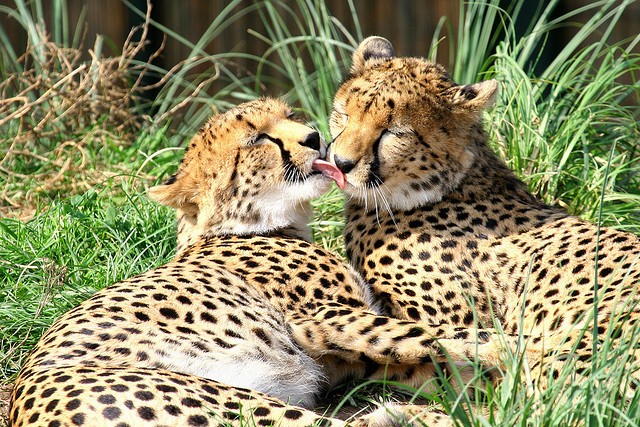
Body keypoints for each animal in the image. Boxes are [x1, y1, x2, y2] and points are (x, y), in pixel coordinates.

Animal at [8, 98, 500, 427]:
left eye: (290, 115)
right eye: (258, 138)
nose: (315, 138)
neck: (255, 226)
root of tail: (22, 402)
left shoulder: (333, 354)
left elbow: (428, 354)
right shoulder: (320, 318)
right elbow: (433, 335)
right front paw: (514, 354)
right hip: (234, 402)